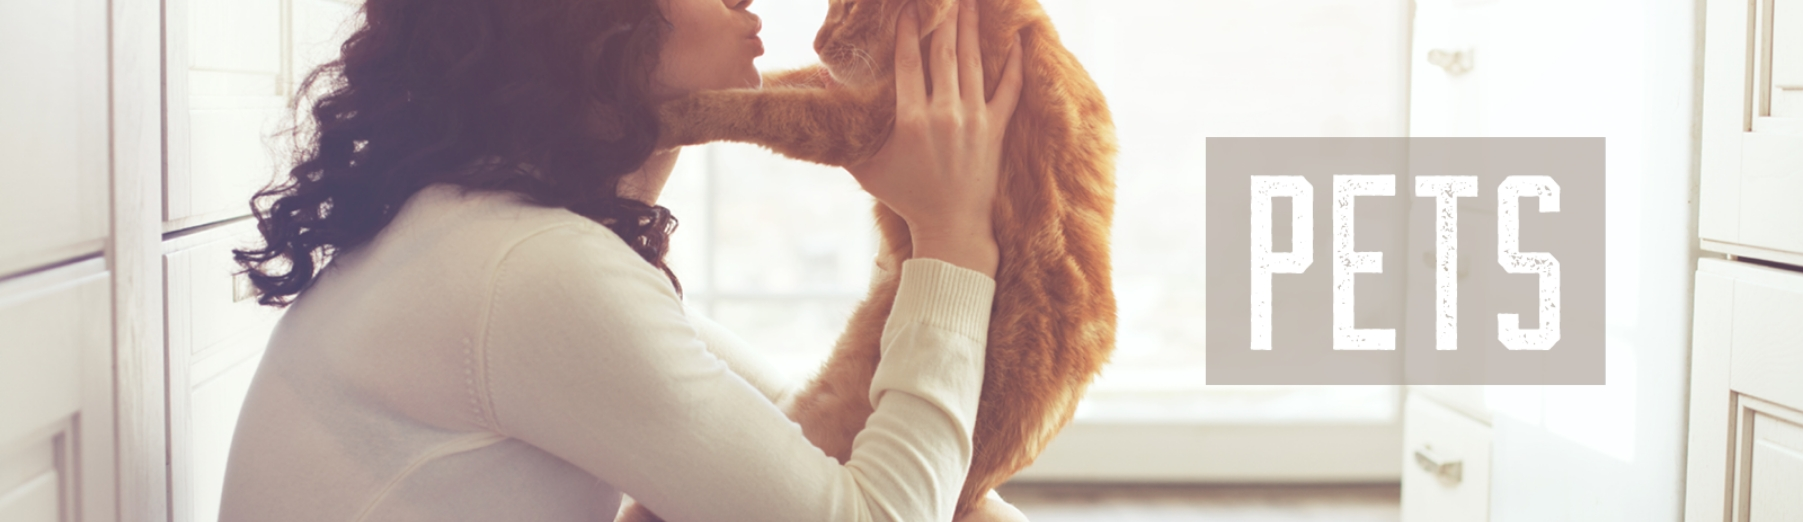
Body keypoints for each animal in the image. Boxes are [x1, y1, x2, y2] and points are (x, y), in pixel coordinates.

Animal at [631, 0, 1110, 514]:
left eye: (850, 9)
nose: (819, 39)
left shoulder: (862, 123)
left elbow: (760, 106)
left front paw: (671, 116)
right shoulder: (846, 90)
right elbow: (772, 82)